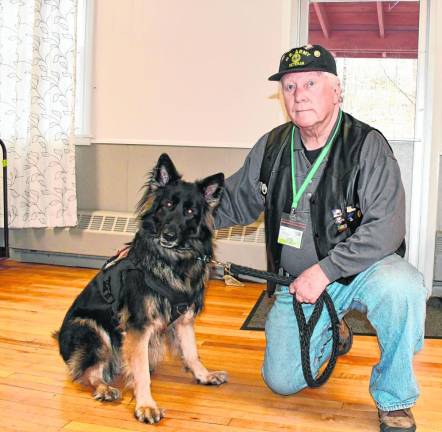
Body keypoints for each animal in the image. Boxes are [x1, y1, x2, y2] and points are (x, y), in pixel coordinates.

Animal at [54, 154, 226, 424]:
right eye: (167, 204)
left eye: (189, 211)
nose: (169, 234)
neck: (171, 260)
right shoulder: (138, 327)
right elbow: (141, 371)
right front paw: (146, 405)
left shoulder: (183, 320)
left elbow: (191, 352)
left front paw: (203, 374)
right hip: (91, 328)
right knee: (87, 372)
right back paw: (104, 387)